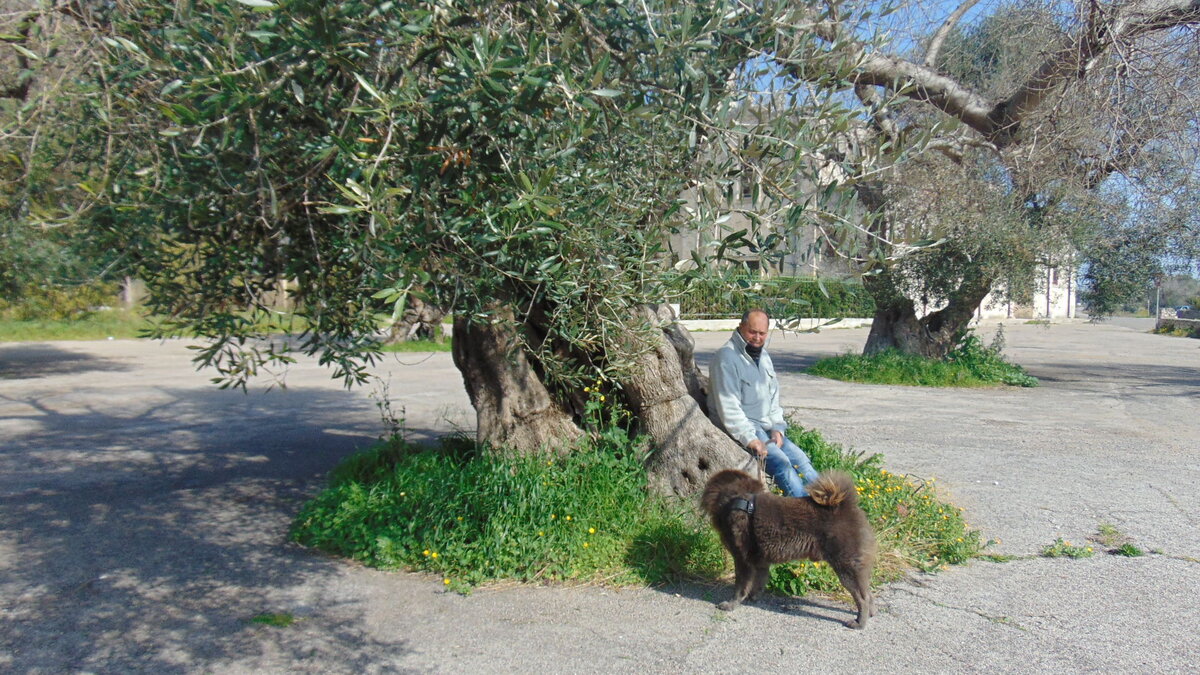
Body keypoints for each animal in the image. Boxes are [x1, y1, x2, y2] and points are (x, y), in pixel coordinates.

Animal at [700, 468, 878, 624]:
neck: (736, 500)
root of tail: (848, 507)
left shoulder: (742, 559)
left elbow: (740, 586)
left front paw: (731, 604)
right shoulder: (760, 561)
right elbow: (759, 582)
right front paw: (753, 597)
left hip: (846, 566)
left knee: (862, 598)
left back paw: (859, 623)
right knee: (868, 594)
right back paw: (870, 614)